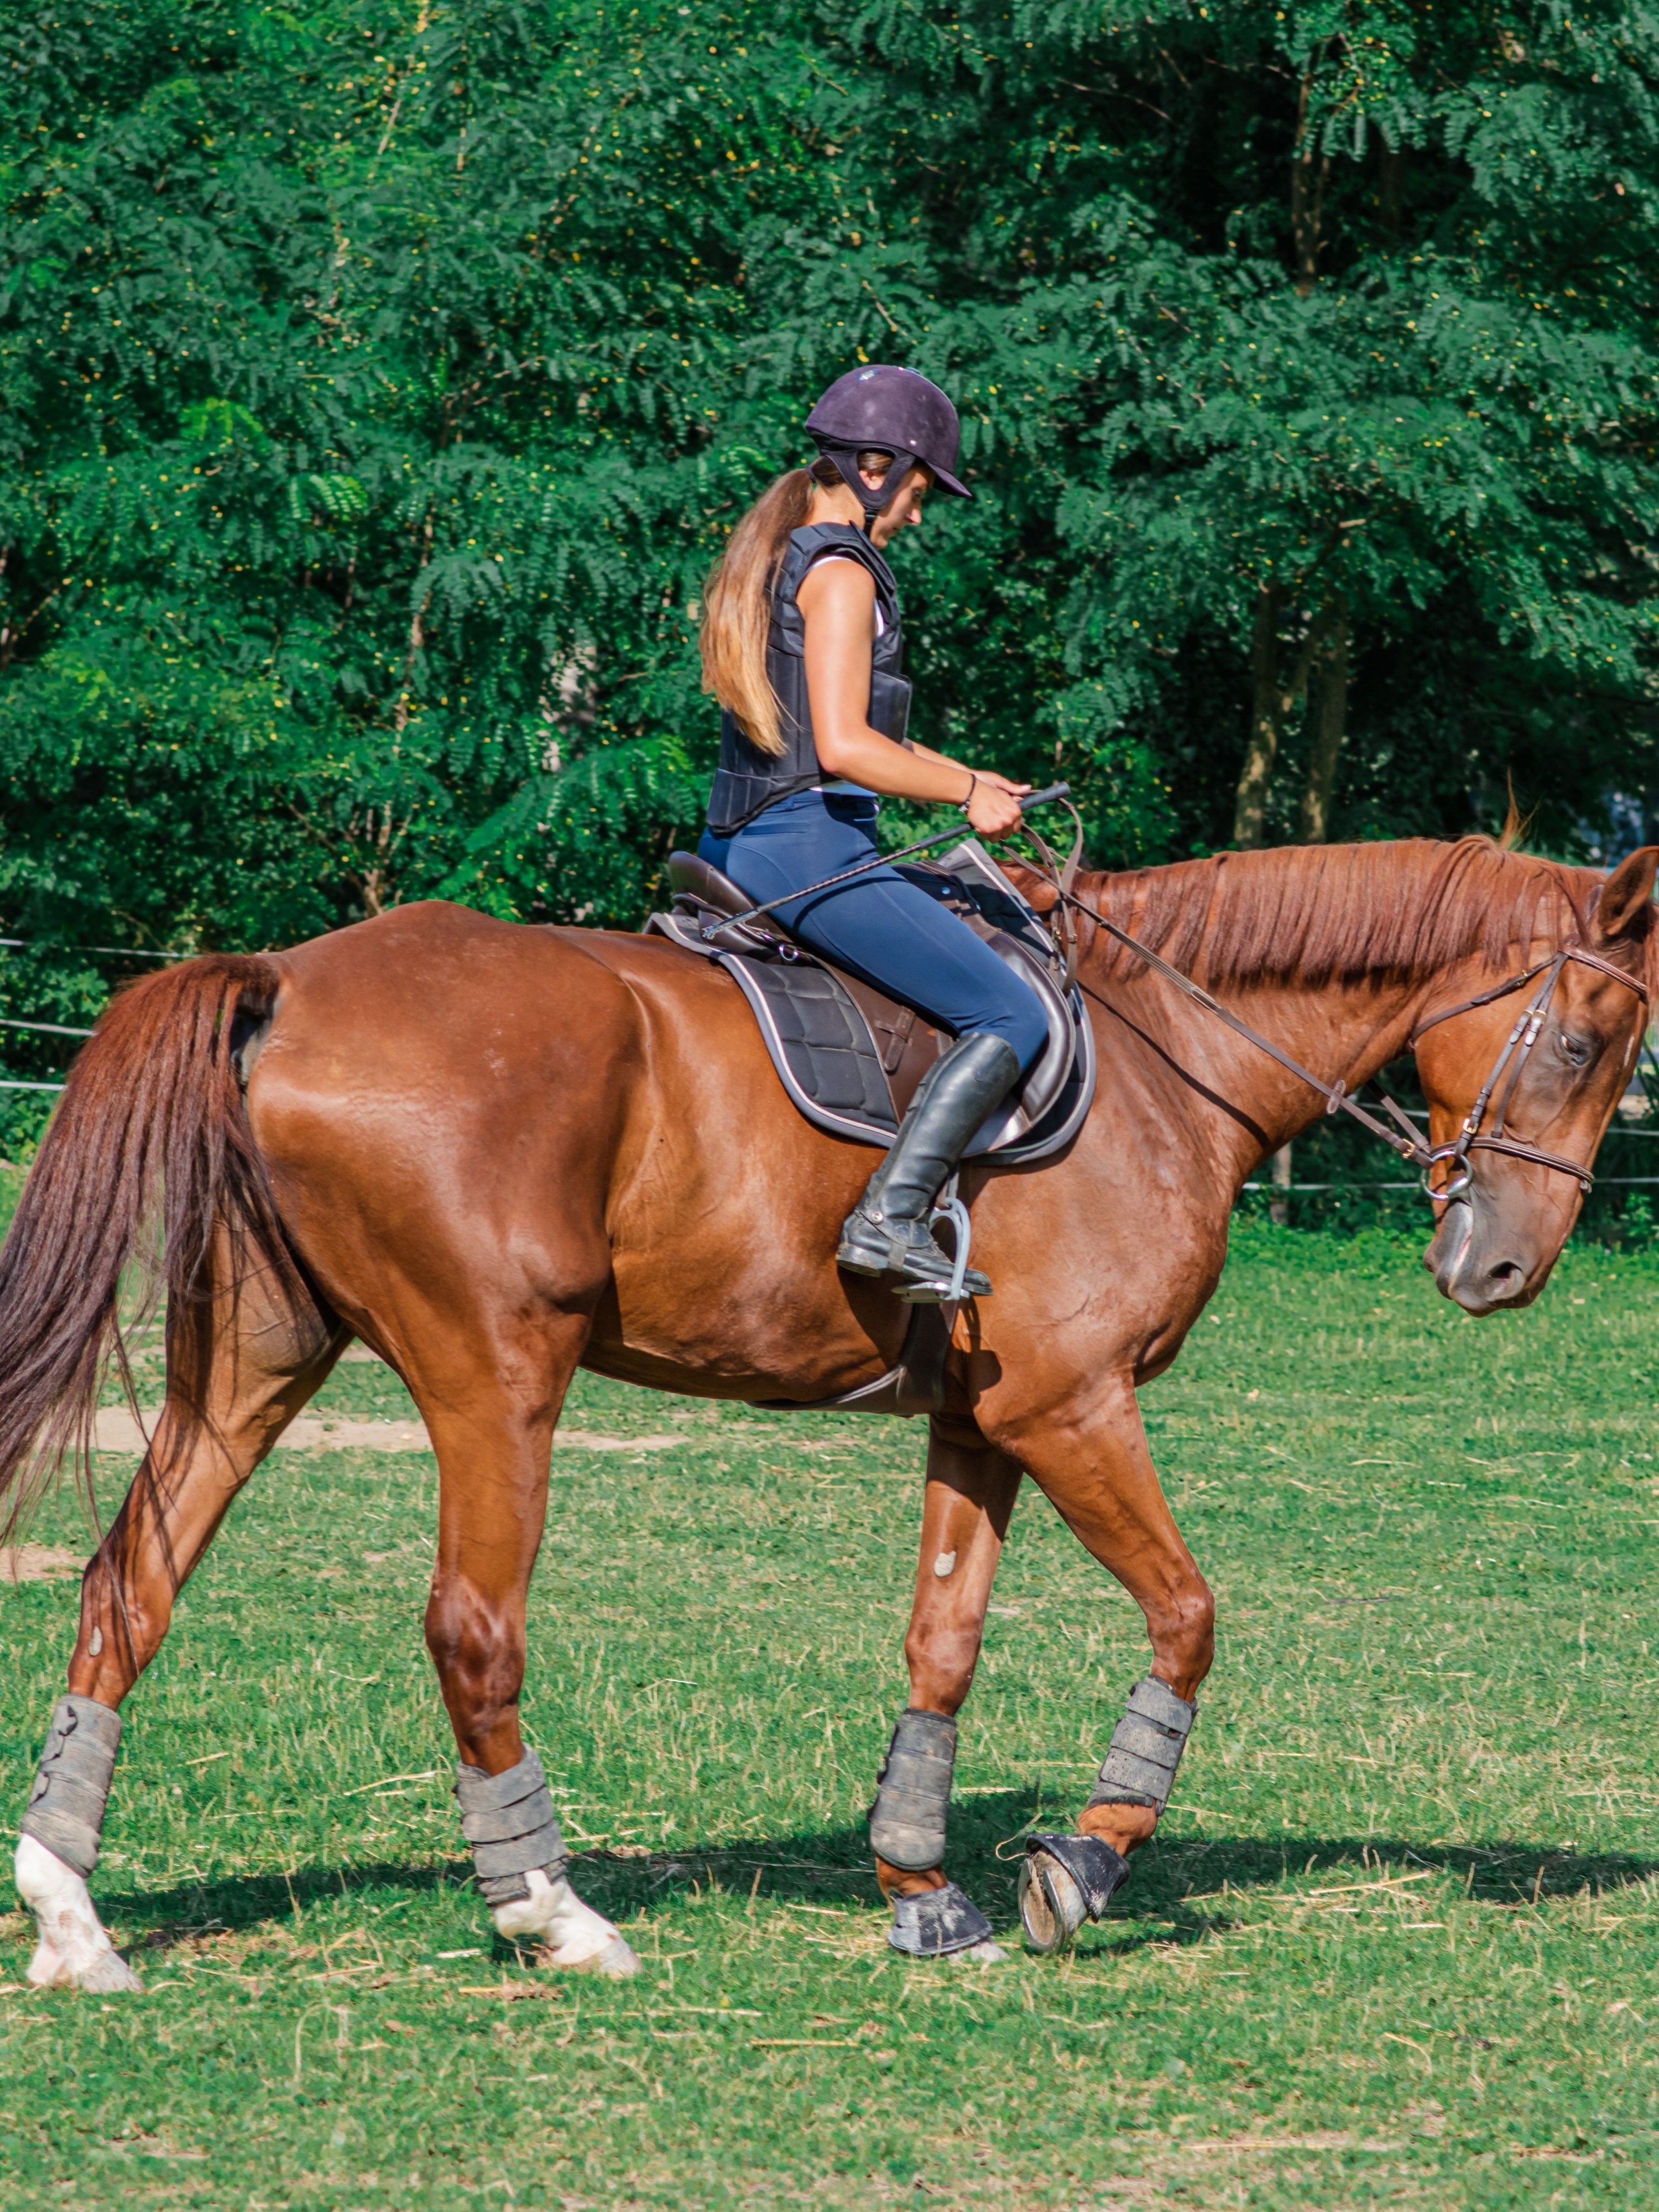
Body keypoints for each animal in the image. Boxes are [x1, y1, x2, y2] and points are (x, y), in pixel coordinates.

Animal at [2, 834, 1653, 1990]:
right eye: (1584, 1043)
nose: (1502, 1270)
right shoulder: (1072, 1407)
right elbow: (1188, 1617)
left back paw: (73, 1918)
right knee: (471, 1628)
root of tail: (289, 980)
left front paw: (923, 1894)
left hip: (256, 1362)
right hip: (496, 1373)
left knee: (129, 1583)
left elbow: (943, 1642)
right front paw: (1083, 1868)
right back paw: (555, 1913)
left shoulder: (985, 1424)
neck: (1162, 1058)